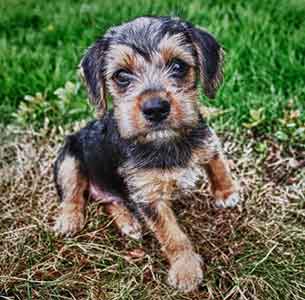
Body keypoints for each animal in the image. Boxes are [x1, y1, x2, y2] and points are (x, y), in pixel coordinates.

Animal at [52, 15, 238, 292]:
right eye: (121, 75)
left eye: (178, 66)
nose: (156, 108)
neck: (164, 140)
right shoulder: (148, 197)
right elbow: (172, 235)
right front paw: (186, 271)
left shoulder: (205, 139)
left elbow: (217, 162)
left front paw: (227, 192)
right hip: (69, 158)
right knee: (73, 193)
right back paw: (70, 220)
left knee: (109, 200)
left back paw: (128, 223)